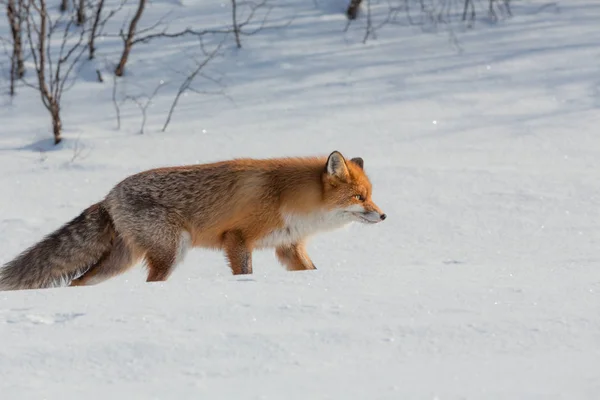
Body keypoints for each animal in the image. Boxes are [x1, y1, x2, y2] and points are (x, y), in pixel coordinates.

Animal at [0, 151, 384, 290]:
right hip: (171, 250)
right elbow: (244, 274)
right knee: (152, 282)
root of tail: (108, 196)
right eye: (359, 198)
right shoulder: (237, 238)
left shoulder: (288, 246)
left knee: (79, 282)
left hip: (121, 262)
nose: (383, 214)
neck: (286, 197)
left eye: (369, 195)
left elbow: (310, 271)